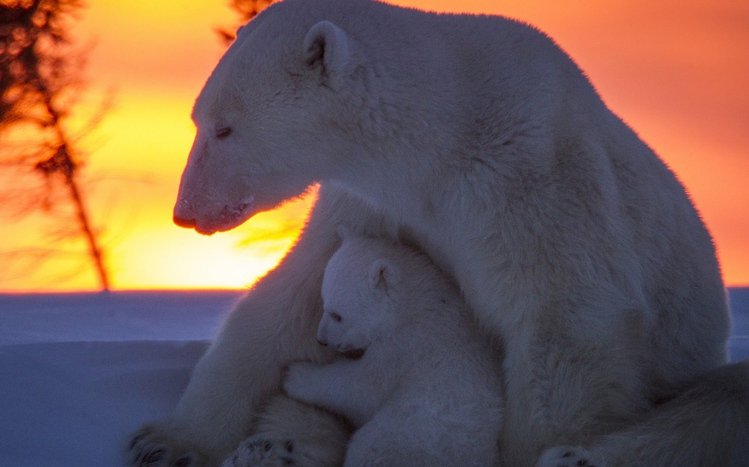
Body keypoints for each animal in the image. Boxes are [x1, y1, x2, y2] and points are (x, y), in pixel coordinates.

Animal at [281, 233, 503, 467]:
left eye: (337, 315)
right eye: (324, 302)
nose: (321, 339)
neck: (415, 304)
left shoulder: (409, 345)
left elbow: (363, 387)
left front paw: (294, 375)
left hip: (415, 434)